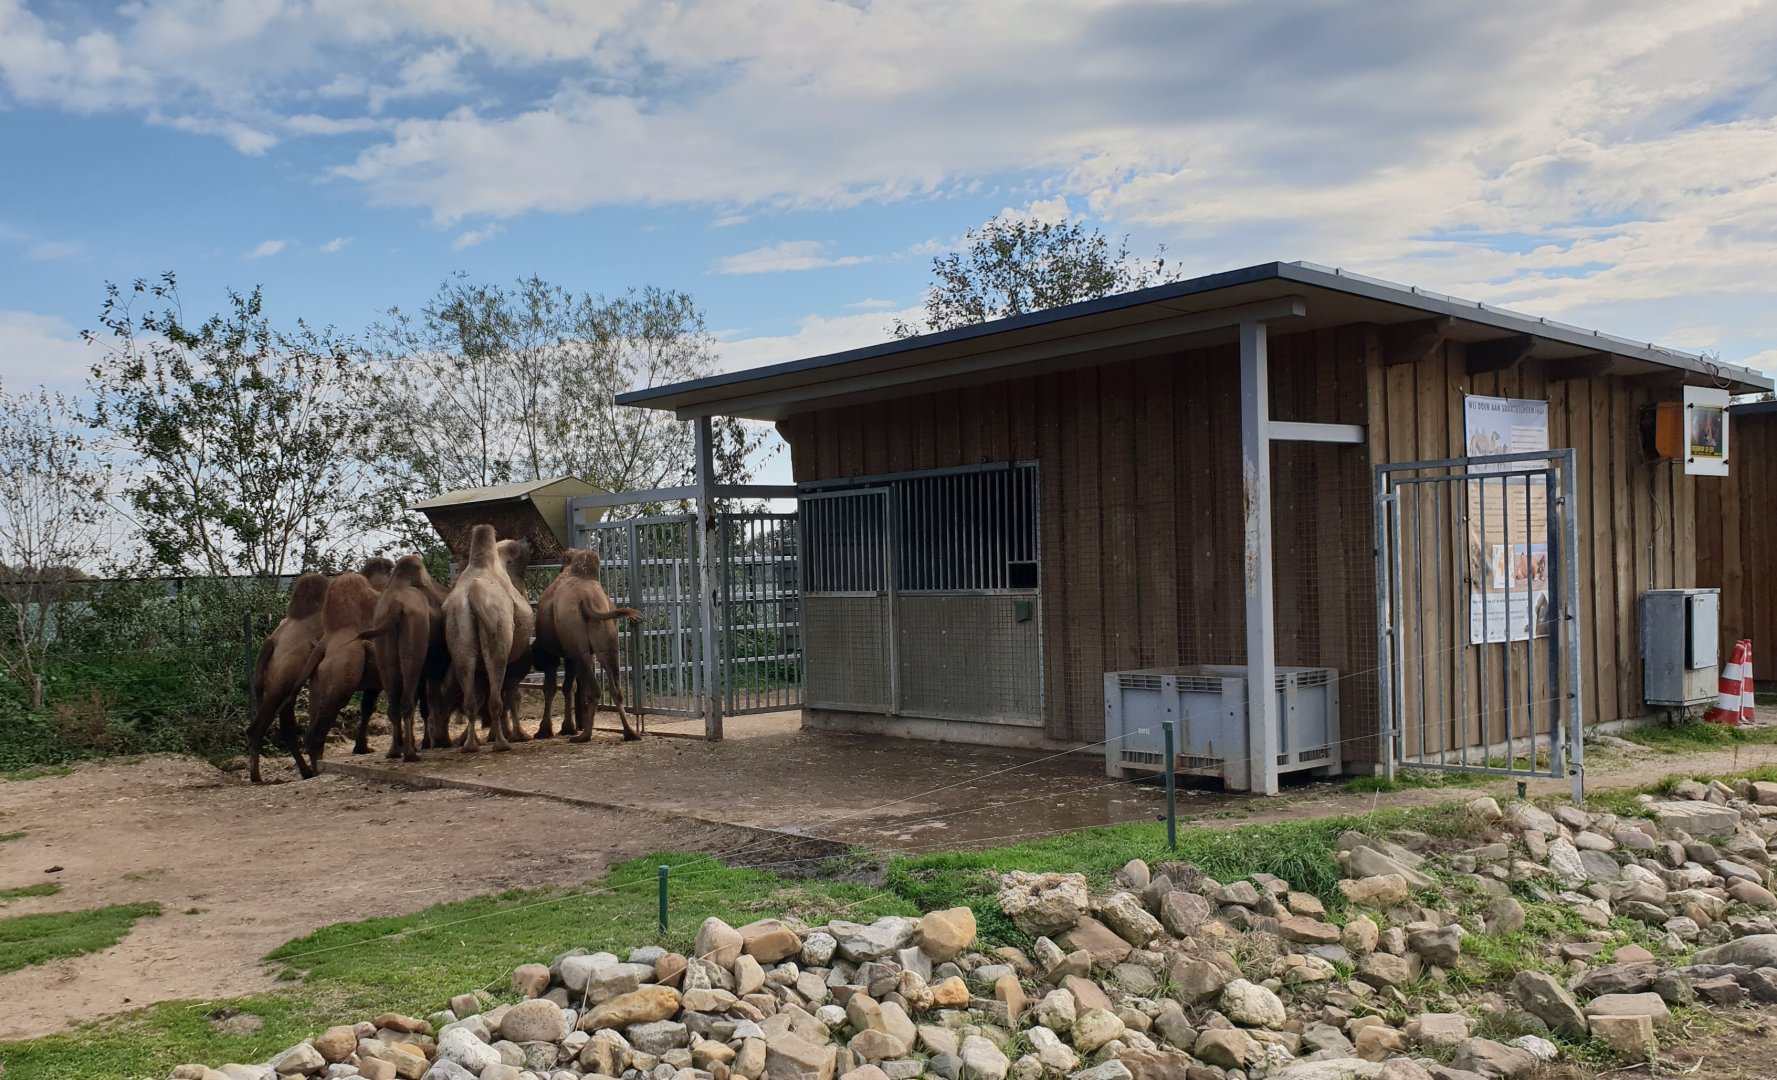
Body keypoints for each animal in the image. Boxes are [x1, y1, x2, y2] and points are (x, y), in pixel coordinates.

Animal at [245, 572, 329, 784]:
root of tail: (272, 640)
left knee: (286, 725)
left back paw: (307, 771)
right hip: (283, 680)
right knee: (259, 726)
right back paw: (256, 776)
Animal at [442, 525, 534, 752]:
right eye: (515, 550)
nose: (529, 540)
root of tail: (474, 593)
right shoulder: (515, 660)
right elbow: (512, 696)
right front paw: (519, 735)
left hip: (460, 637)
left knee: (470, 698)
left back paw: (470, 744)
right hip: (498, 643)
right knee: (496, 695)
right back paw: (501, 743)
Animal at [541, 548, 643, 742]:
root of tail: (586, 600)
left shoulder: (551, 652)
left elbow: (552, 687)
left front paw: (545, 730)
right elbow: (567, 687)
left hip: (578, 649)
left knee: (593, 689)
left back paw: (583, 735)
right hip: (607, 642)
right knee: (616, 689)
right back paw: (630, 733)